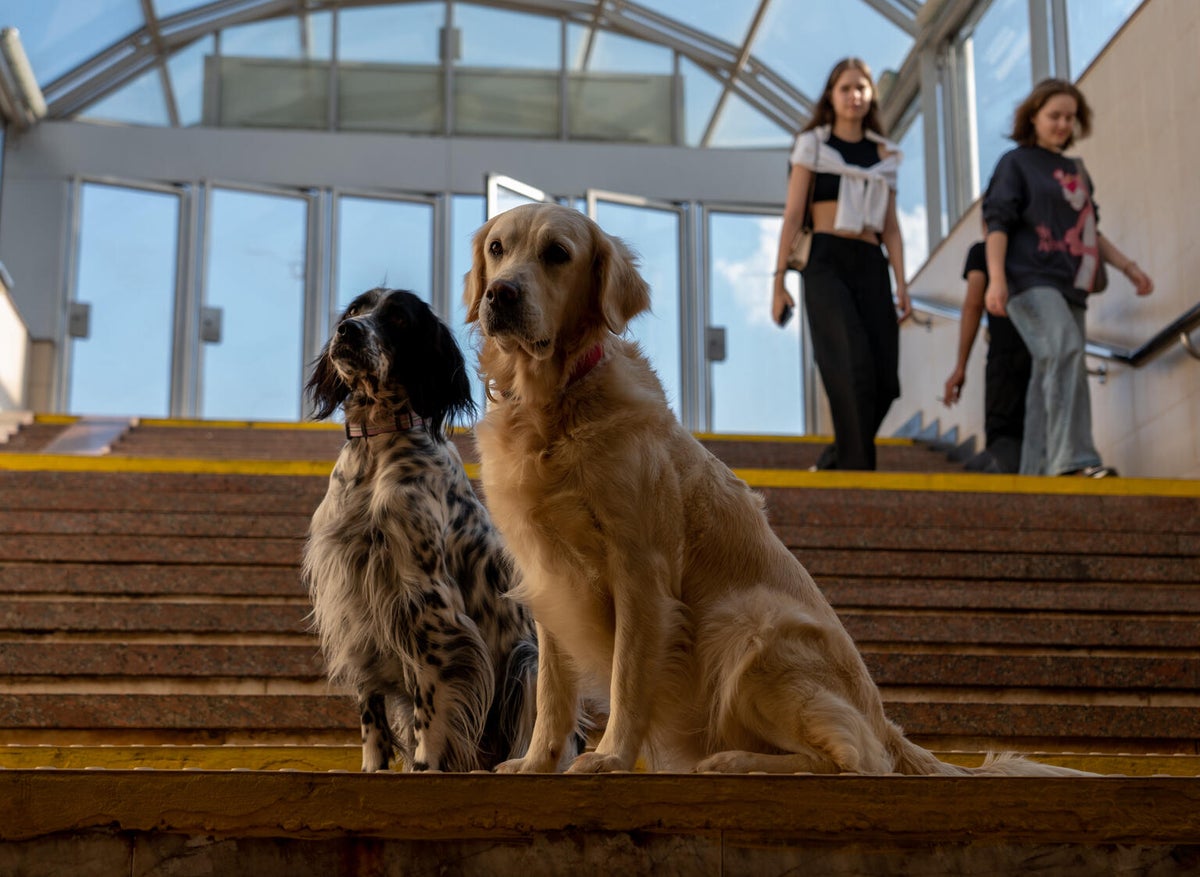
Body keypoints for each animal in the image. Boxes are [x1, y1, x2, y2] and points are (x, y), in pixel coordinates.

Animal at [302, 290, 542, 777]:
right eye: (354, 310)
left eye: (397, 317)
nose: (347, 331)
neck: (376, 444)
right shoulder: (353, 594)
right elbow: (370, 706)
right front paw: (373, 768)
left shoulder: (426, 598)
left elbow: (430, 699)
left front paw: (425, 766)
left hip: (526, 663)